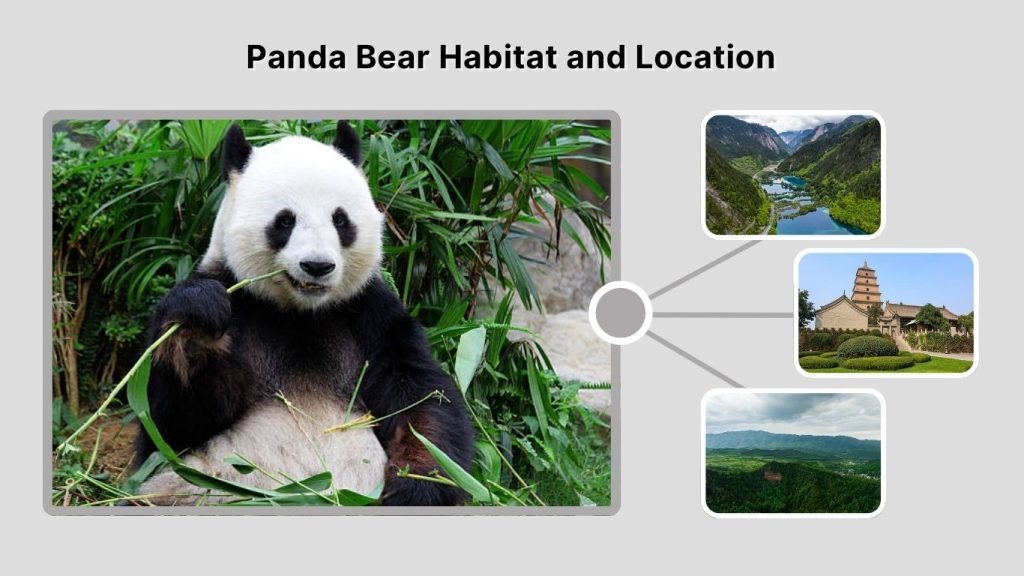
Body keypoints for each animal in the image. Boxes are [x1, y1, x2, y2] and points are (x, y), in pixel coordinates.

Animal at [135, 121, 475, 506]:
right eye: (284, 221)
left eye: (340, 220)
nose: (317, 266)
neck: (300, 314)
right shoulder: (240, 301)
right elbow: (170, 426)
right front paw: (198, 319)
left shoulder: (370, 315)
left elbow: (421, 401)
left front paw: (415, 486)